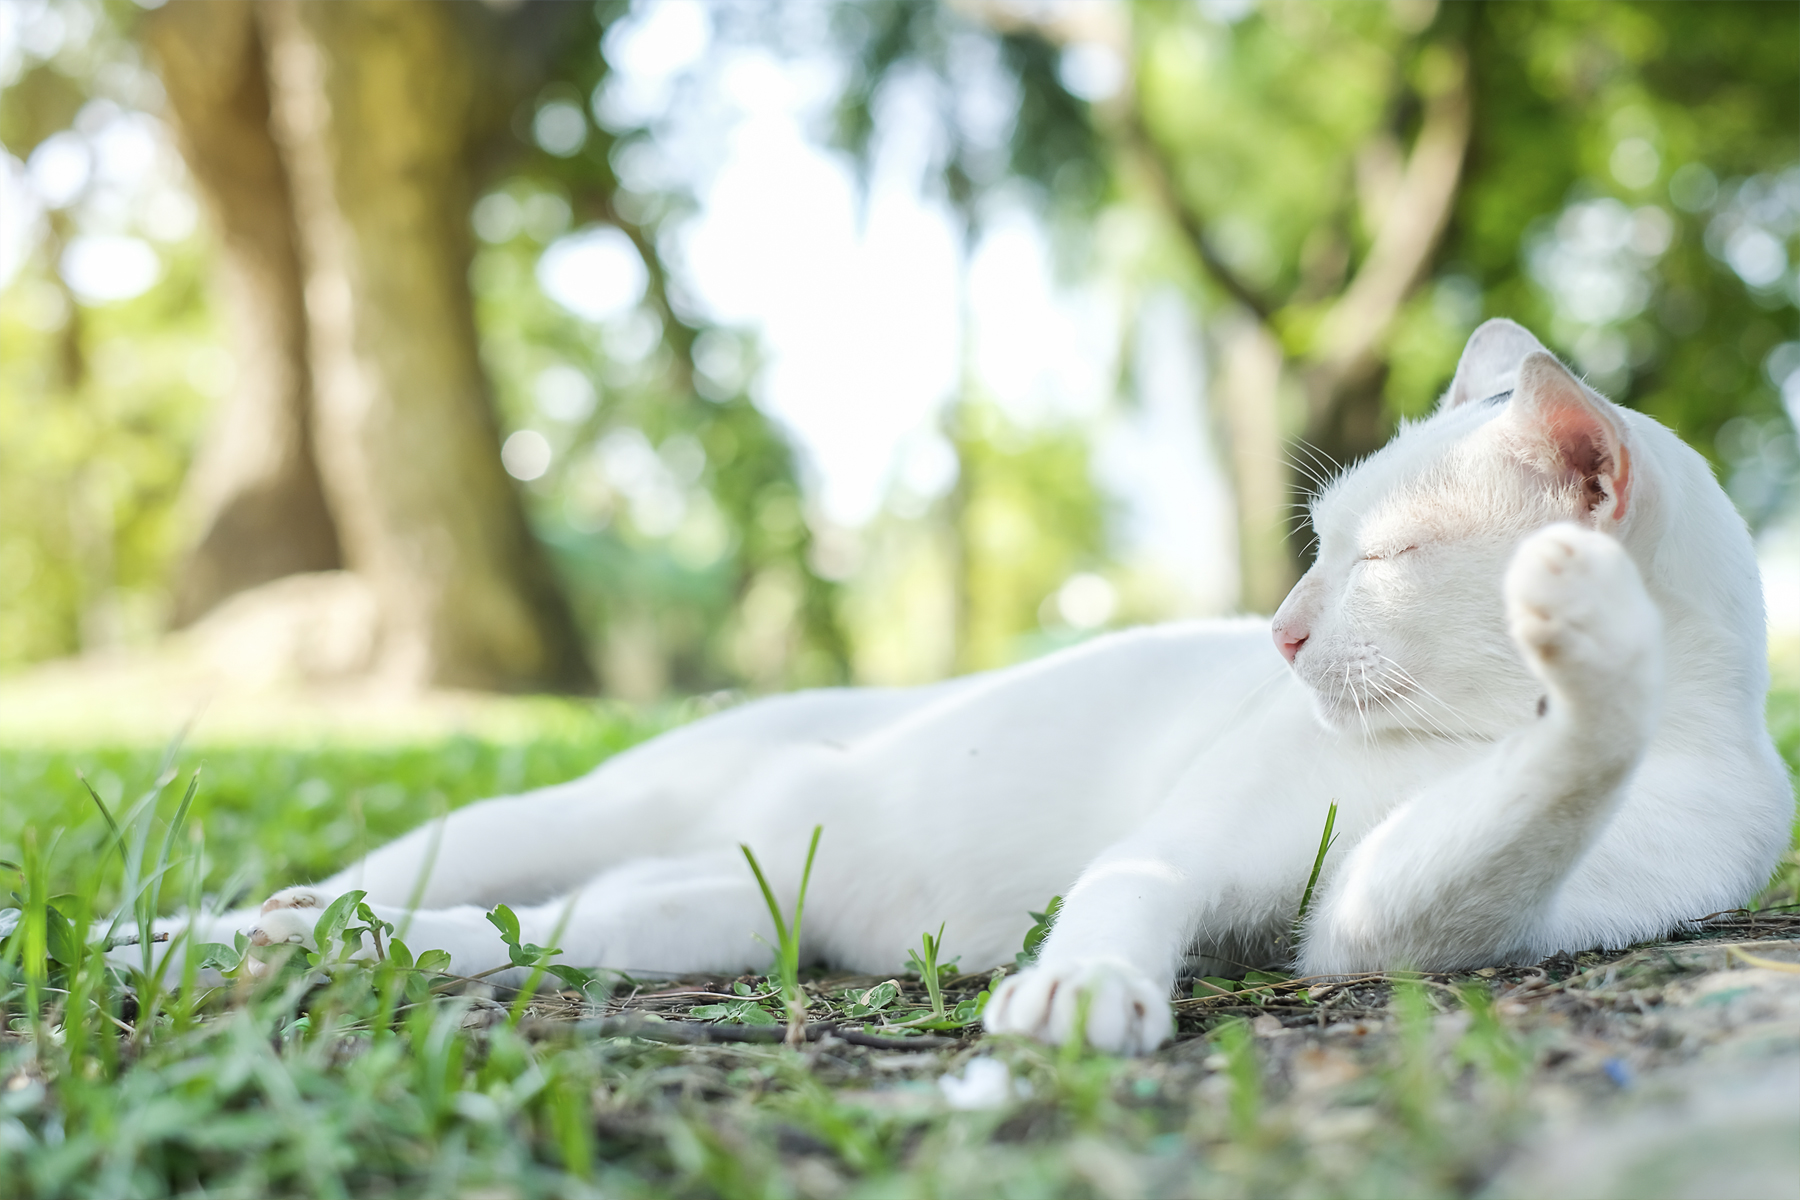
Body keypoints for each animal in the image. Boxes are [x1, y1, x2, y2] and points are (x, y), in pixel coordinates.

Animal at [165, 316, 1785, 1050]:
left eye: (1379, 559)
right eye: (1324, 543)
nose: (1278, 632)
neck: (1469, 732)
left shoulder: (1390, 917)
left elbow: (1531, 800)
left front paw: (1599, 657)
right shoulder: (1196, 839)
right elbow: (1135, 880)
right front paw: (1083, 987)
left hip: (685, 914)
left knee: (489, 935)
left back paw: (280, 950)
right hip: (565, 818)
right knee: (376, 881)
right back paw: (191, 933)